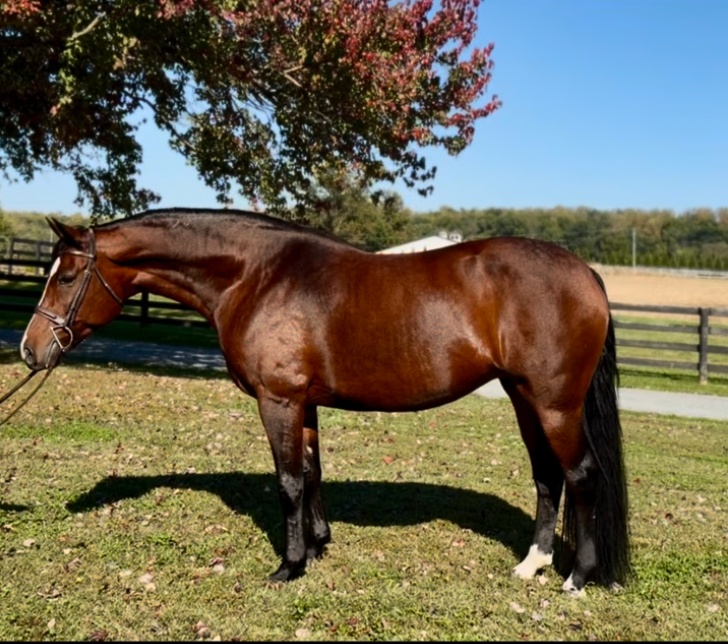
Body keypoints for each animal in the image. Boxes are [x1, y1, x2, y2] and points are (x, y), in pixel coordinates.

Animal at [18, 207, 630, 594]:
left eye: (66, 277)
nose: (29, 349)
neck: (255, 275)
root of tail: (587, 274)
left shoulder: (278, 401)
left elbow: (288, 481)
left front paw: (288, 567)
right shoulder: (303, 404)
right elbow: (311, 473)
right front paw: (316, 548)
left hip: (554, 404)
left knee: (581, 475)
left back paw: (578, 577)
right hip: (524, 397)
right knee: (547, 477)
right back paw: (532, 565)